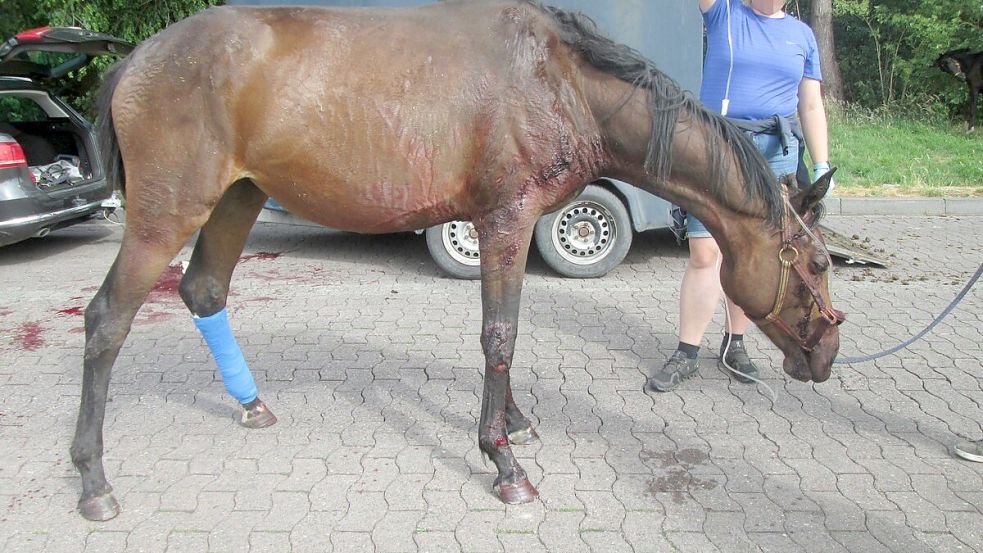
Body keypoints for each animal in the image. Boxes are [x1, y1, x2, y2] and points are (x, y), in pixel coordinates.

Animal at [71, 0, 836, 520]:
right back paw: (93, 482)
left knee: (203, 290)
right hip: (165, 216)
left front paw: (516, 422)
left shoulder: (512, 227)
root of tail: (137, 61)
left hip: (237, 198)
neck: (560, 81)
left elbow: (505, 334)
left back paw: (252, 406)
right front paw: (503, 461)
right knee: (106, 320)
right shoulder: (504, 221)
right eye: (821, 263)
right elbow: (500, 334)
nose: (825, 356)